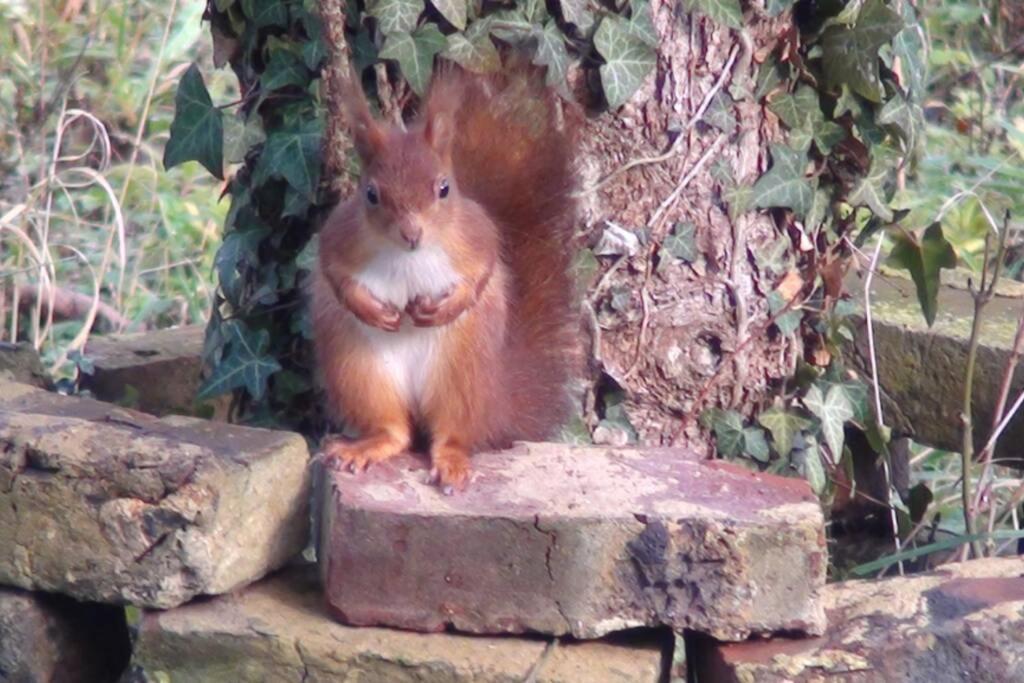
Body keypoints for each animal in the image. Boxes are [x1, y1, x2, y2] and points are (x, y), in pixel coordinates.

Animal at [311, 60, 581, 491]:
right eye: (371, 194)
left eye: (444, 188)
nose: (412, 233)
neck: (407, 255)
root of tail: (495, 402)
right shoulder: (339, 236)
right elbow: (335, 276)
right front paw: (371, 310)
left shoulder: (477, 236)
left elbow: (483, 272)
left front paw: (447, 306)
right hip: (358, 371)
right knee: (395, 432)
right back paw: (367, 447)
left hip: (461, 374)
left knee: (451, 433)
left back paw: (452, 462)